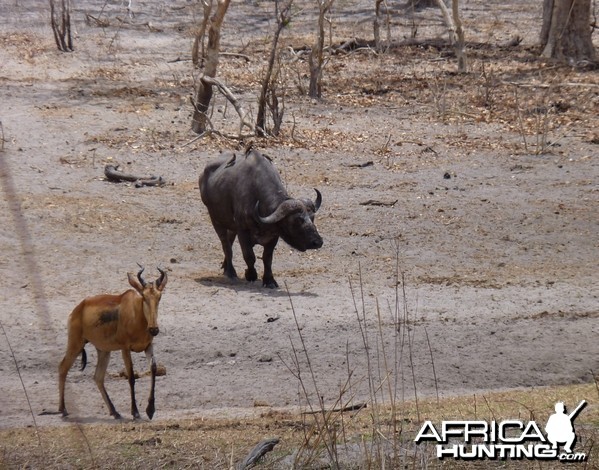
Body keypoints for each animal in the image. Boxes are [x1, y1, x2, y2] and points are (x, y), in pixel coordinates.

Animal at [58, 266, 168, 420]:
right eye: (144, 296)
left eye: (159, 297)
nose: (153, 329)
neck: (135, 311)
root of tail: (77, 310)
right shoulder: (125, 348)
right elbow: (131, 376)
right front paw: (135, 412)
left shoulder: (148, 346)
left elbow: (153, 368)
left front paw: (150, 410)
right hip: (76, 344)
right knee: (63, 368)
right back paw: (63, 410)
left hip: (103, 350)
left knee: (98, 377)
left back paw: (115, 412)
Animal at [200, 148, 324, 286]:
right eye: (297, 220)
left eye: (312, 218)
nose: (317, 242)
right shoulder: (243, 231)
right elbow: (249, 256)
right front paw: (251, 274)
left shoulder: (274, 236)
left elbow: (267, 258)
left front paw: (269, 280)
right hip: (216, 219)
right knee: (226, 245)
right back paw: (231, 272)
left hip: (230, 225)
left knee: (229, 241)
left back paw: (226, 267)